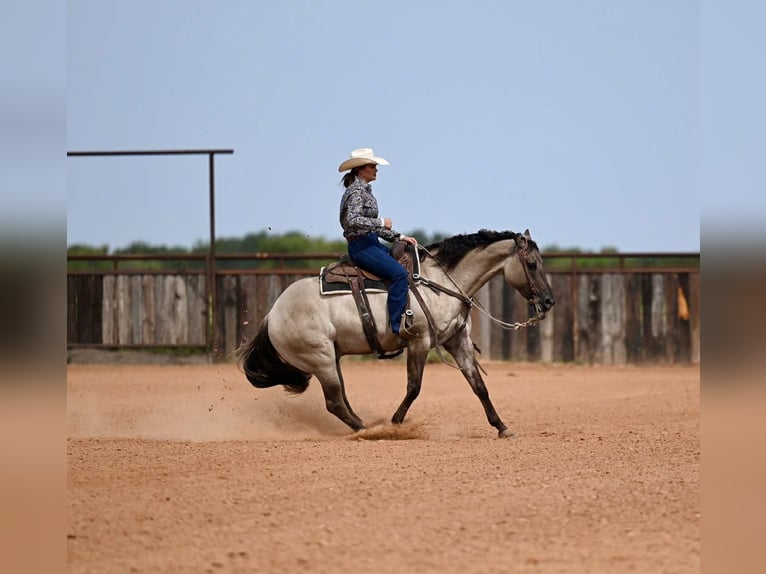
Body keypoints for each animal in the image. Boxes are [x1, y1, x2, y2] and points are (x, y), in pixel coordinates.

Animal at [237, 229, 555, 438]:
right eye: (531, 264)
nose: (549, 301)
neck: (440, 283)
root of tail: (272, 314)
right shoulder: (420, 342)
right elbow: (414, 387)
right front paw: (396, 422)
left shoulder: (458, 341)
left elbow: (479, 386)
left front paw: (502, 427)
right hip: (321, 359)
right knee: (335, 402)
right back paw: (369, 430)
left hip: (332, 359)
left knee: (341, 400)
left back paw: (365, 426)